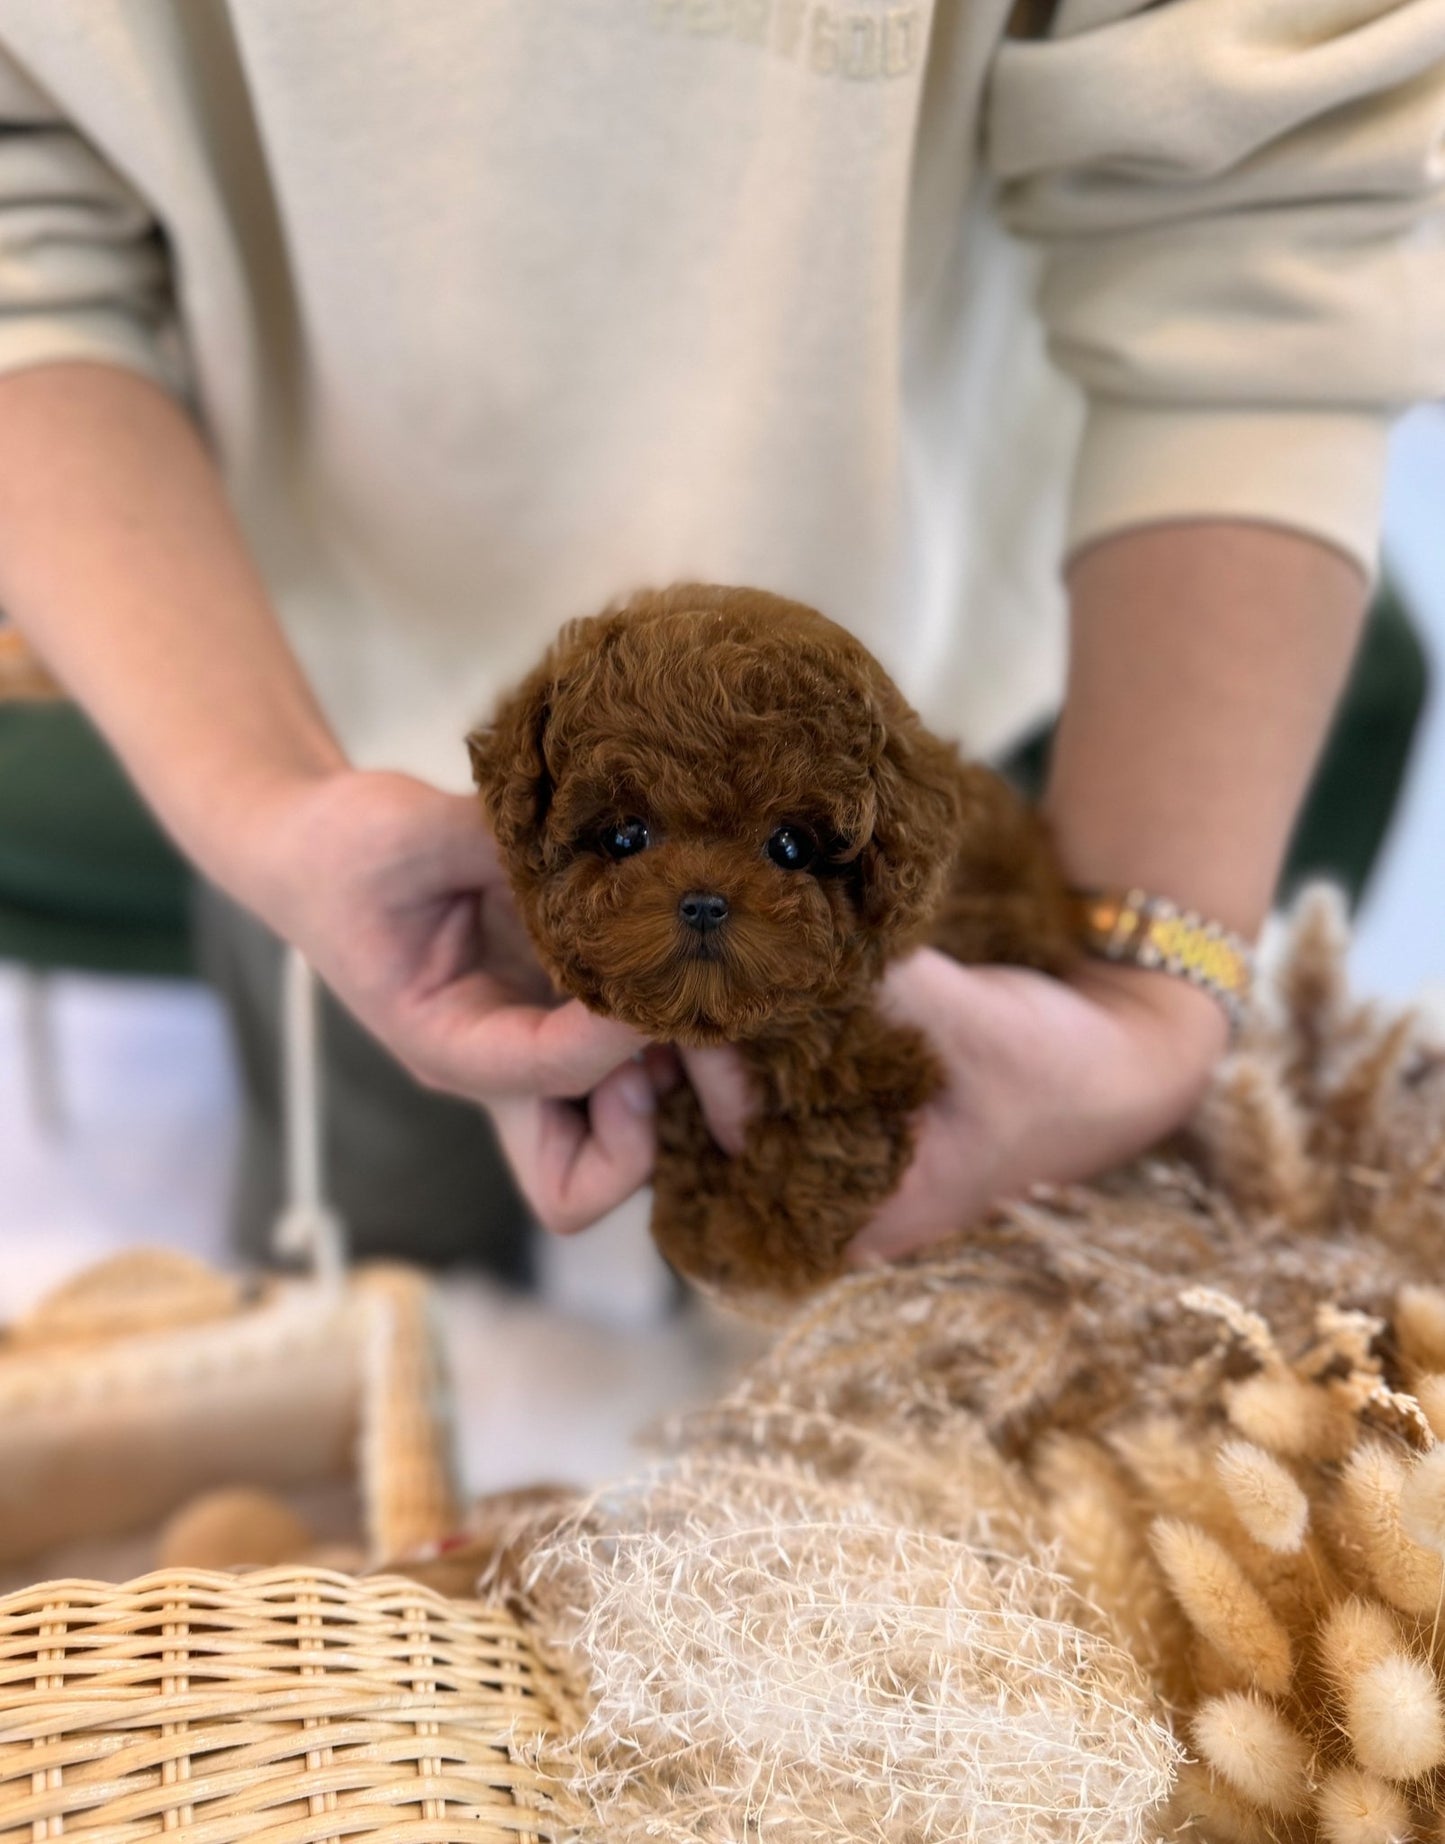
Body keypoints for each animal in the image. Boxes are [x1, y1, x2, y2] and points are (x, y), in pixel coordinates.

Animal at [468, 586, 1076, 1298]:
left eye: (791, 846)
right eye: (624, 836)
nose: (704, 902)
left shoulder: (872, 1050)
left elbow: (826, 1130)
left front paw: (755, 1242)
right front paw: (697, 1199)